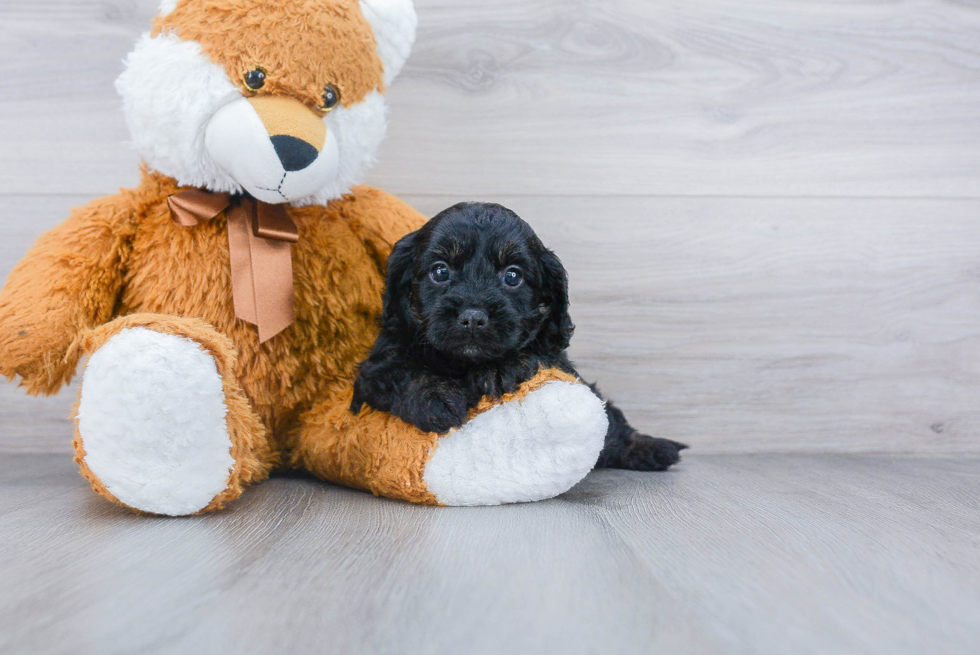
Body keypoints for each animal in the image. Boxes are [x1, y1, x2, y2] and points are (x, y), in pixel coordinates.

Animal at [354, 201, 688, 472]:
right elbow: (403, 371)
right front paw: (436, 398)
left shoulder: (558, 359)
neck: (464, 363)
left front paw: (500, 369)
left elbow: (536, 353)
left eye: (512, 276)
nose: (473, 317)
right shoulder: (375, 370)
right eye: (440, 271)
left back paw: (652, 448)